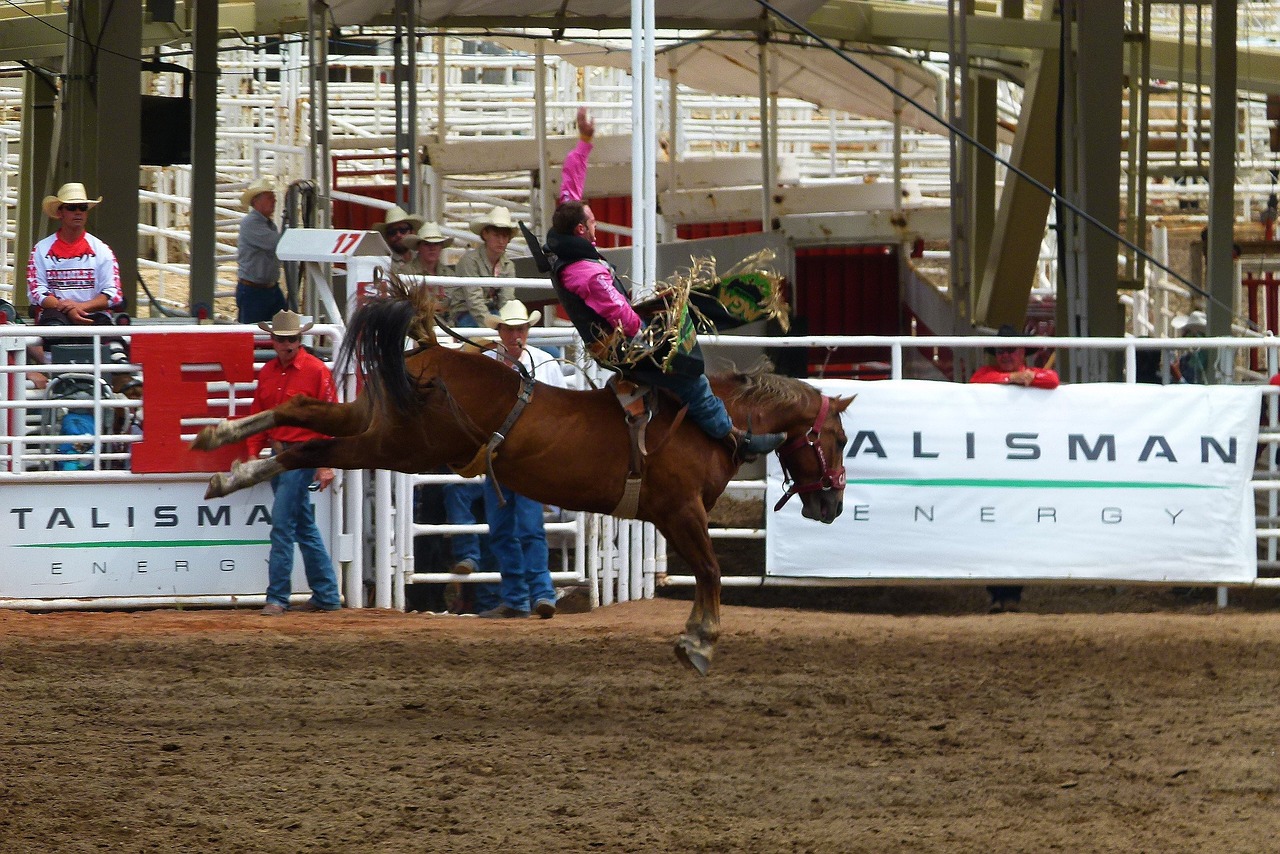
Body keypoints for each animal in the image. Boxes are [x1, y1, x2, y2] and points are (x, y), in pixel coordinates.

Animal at [192, 284, 849, 670]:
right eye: (839, 440)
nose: (833, 506)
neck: (716, 420)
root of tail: (428, 353)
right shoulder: (680, 510)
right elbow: (710, 570)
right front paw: (699, 641)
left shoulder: (673, 516)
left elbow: (706, 571)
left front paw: (695, 636)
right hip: (400, 443)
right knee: (315, 445)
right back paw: (232, 459)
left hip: (377, 419)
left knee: (305, 413)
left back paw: (225, 451)